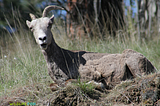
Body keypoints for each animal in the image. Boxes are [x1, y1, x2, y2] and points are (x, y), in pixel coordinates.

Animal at [26, 5, 156, 89]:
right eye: (31, 28)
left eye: (49, 24)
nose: (42, 39)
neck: (63, 60)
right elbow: (54, 86)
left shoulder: (90, 75)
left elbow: (71, 83)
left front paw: (99, 85)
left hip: (134, 66)